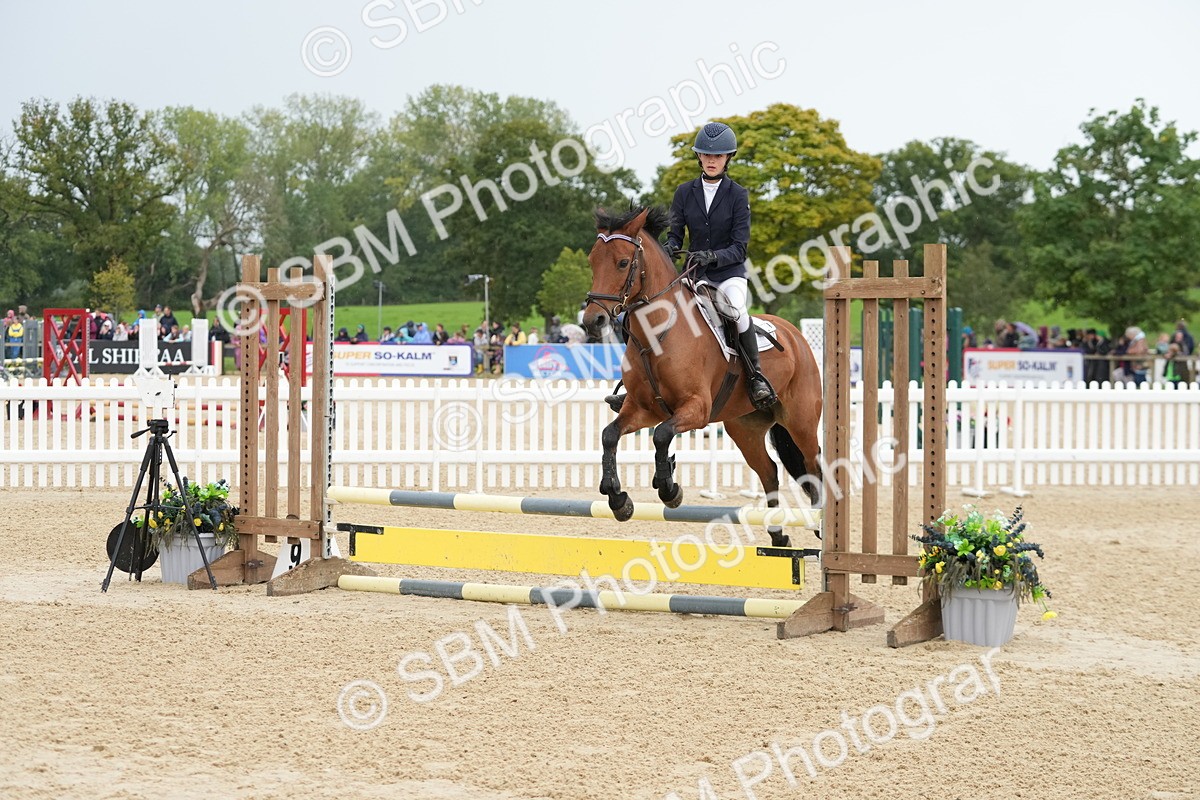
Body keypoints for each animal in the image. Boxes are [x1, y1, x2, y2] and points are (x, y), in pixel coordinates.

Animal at [583, 205, 824, 548]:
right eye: (592, 261)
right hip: (745, 428)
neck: (658, 334)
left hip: (800, 421)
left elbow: (661, 435)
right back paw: (778, 535)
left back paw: (820, 524)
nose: (593, 321)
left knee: (812, 466)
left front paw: (669, 489)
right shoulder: (642, 409)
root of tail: (795, 334)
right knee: (769, 471)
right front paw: (619, 500)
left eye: (622, 262)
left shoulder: (696, 409)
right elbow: (609, 435)